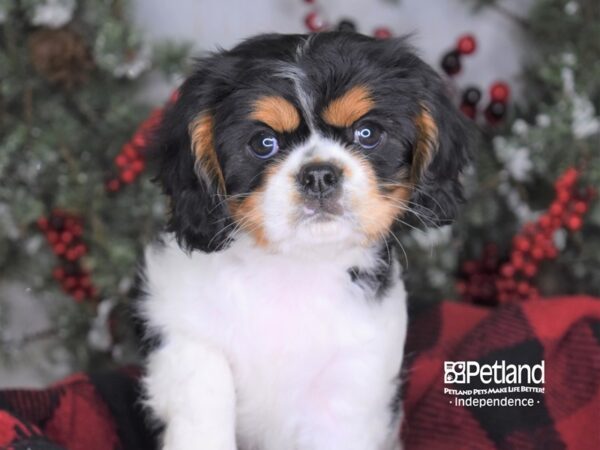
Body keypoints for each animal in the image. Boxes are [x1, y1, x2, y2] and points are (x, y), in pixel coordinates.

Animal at [138, 32, 472, 450]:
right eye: (263, 143)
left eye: (367, 134)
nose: (319, 175)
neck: (293, 266)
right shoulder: (184, 331)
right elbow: (204, 404)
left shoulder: (350, 384)